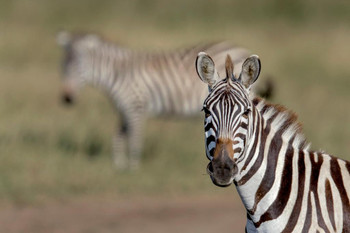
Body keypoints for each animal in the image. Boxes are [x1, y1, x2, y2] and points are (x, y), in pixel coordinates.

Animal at [55, 31, 274, 169]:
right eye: (63, 65)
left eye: (78, 66)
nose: (66, 98)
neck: (117, 73)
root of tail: (240, 48)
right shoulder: (124, 109)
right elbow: (118, 137)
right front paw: (118, 165)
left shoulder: (135, 106)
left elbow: (134, 139)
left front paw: (133, 168)